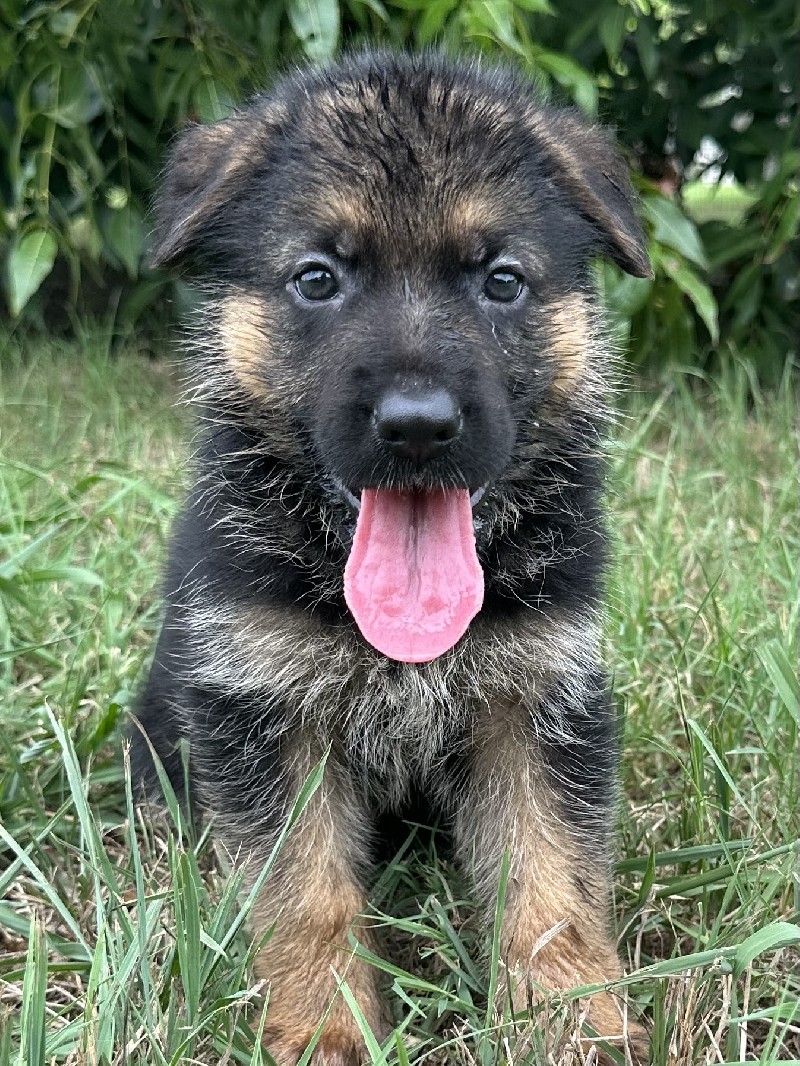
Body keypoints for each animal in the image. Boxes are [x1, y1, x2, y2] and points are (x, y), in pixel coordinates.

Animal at [136, 50, 652, 1066]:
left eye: (501, 281)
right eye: (317, 278)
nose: (417, 427)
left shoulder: (538, 696)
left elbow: (552, 879)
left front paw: (572, 1017)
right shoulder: (265, 708)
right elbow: (302, 893)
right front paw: (324, 1026)